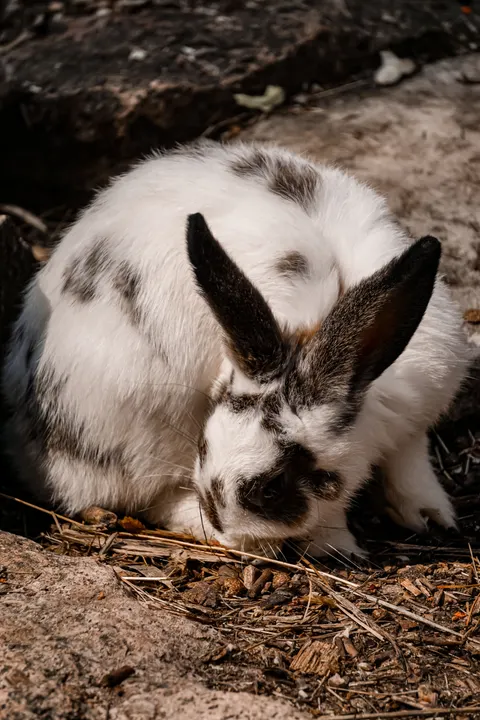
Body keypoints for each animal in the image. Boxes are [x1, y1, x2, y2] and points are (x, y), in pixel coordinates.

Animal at [1, 140, 469, 559]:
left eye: (271, 488)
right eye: (203, 448)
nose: (231, 532)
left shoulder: (414, 413)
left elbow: (408, 458)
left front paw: (430, 515)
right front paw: (334, 546)